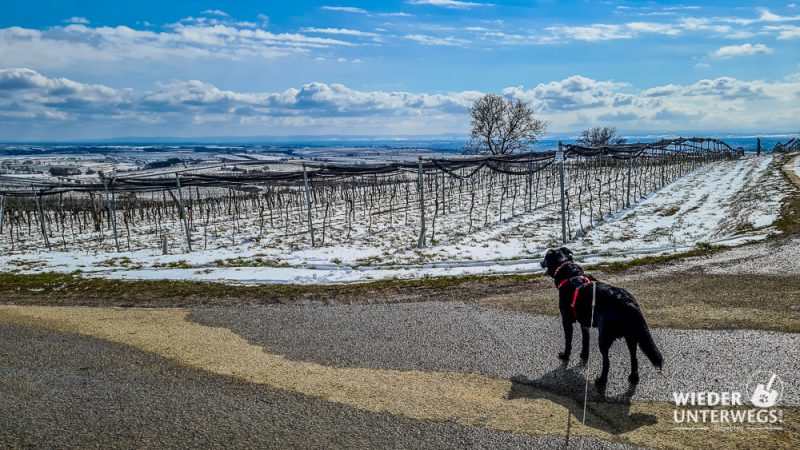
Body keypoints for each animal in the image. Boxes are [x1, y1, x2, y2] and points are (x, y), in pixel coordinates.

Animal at [540, 246, 664, 386]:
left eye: (545, 258)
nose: (540, 263)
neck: (568, 271)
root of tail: (628, 302)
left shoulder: (566, 320)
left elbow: (568, 341)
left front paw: (565, 356)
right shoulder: (585, 324)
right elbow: (585, 341)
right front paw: (584, 356)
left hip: (604, 337)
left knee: (607, 362)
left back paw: (601, 381)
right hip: (631, 336)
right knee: (634, 357)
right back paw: (633, 377)